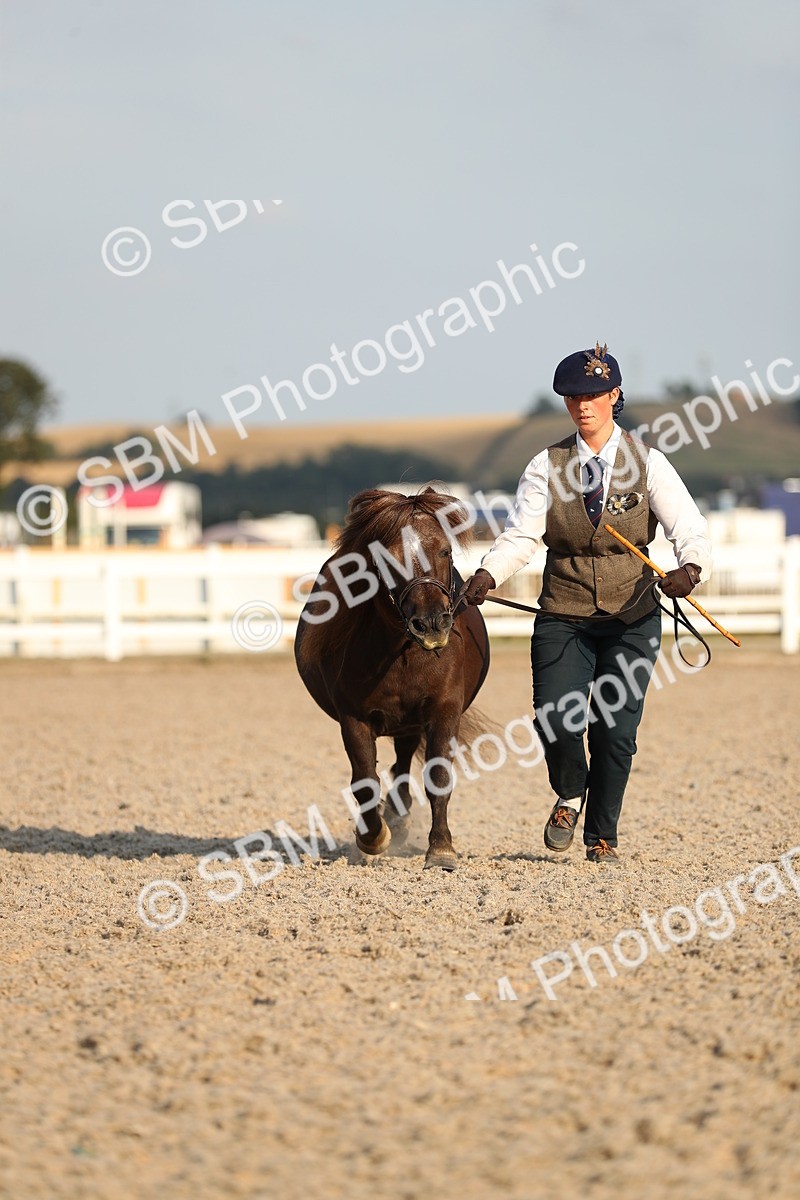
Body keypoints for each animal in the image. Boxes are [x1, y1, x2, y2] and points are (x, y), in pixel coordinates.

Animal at [294, 486, 489, 870]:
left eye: (445, 551)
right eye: (386, 558)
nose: (431, 624)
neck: (402, 655)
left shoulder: (444, 711)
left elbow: (438, 777)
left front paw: (441, 848)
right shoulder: (353, 720)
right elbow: (365, 782)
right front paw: (372, 837)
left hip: (411, 723)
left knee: (404, 762)